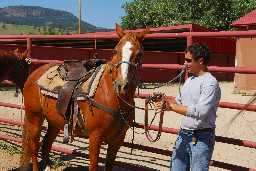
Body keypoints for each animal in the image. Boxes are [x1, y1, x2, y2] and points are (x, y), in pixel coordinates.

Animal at [20, 24, 148, 171]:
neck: (112, 97)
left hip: (54, 121)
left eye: (139, 54)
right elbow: (93, 166)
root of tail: (34, 74)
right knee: (34, 145)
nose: (121, 85)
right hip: (34, 117)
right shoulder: (95, 138)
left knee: (46, 144)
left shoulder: (117, 140)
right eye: (115, 51)